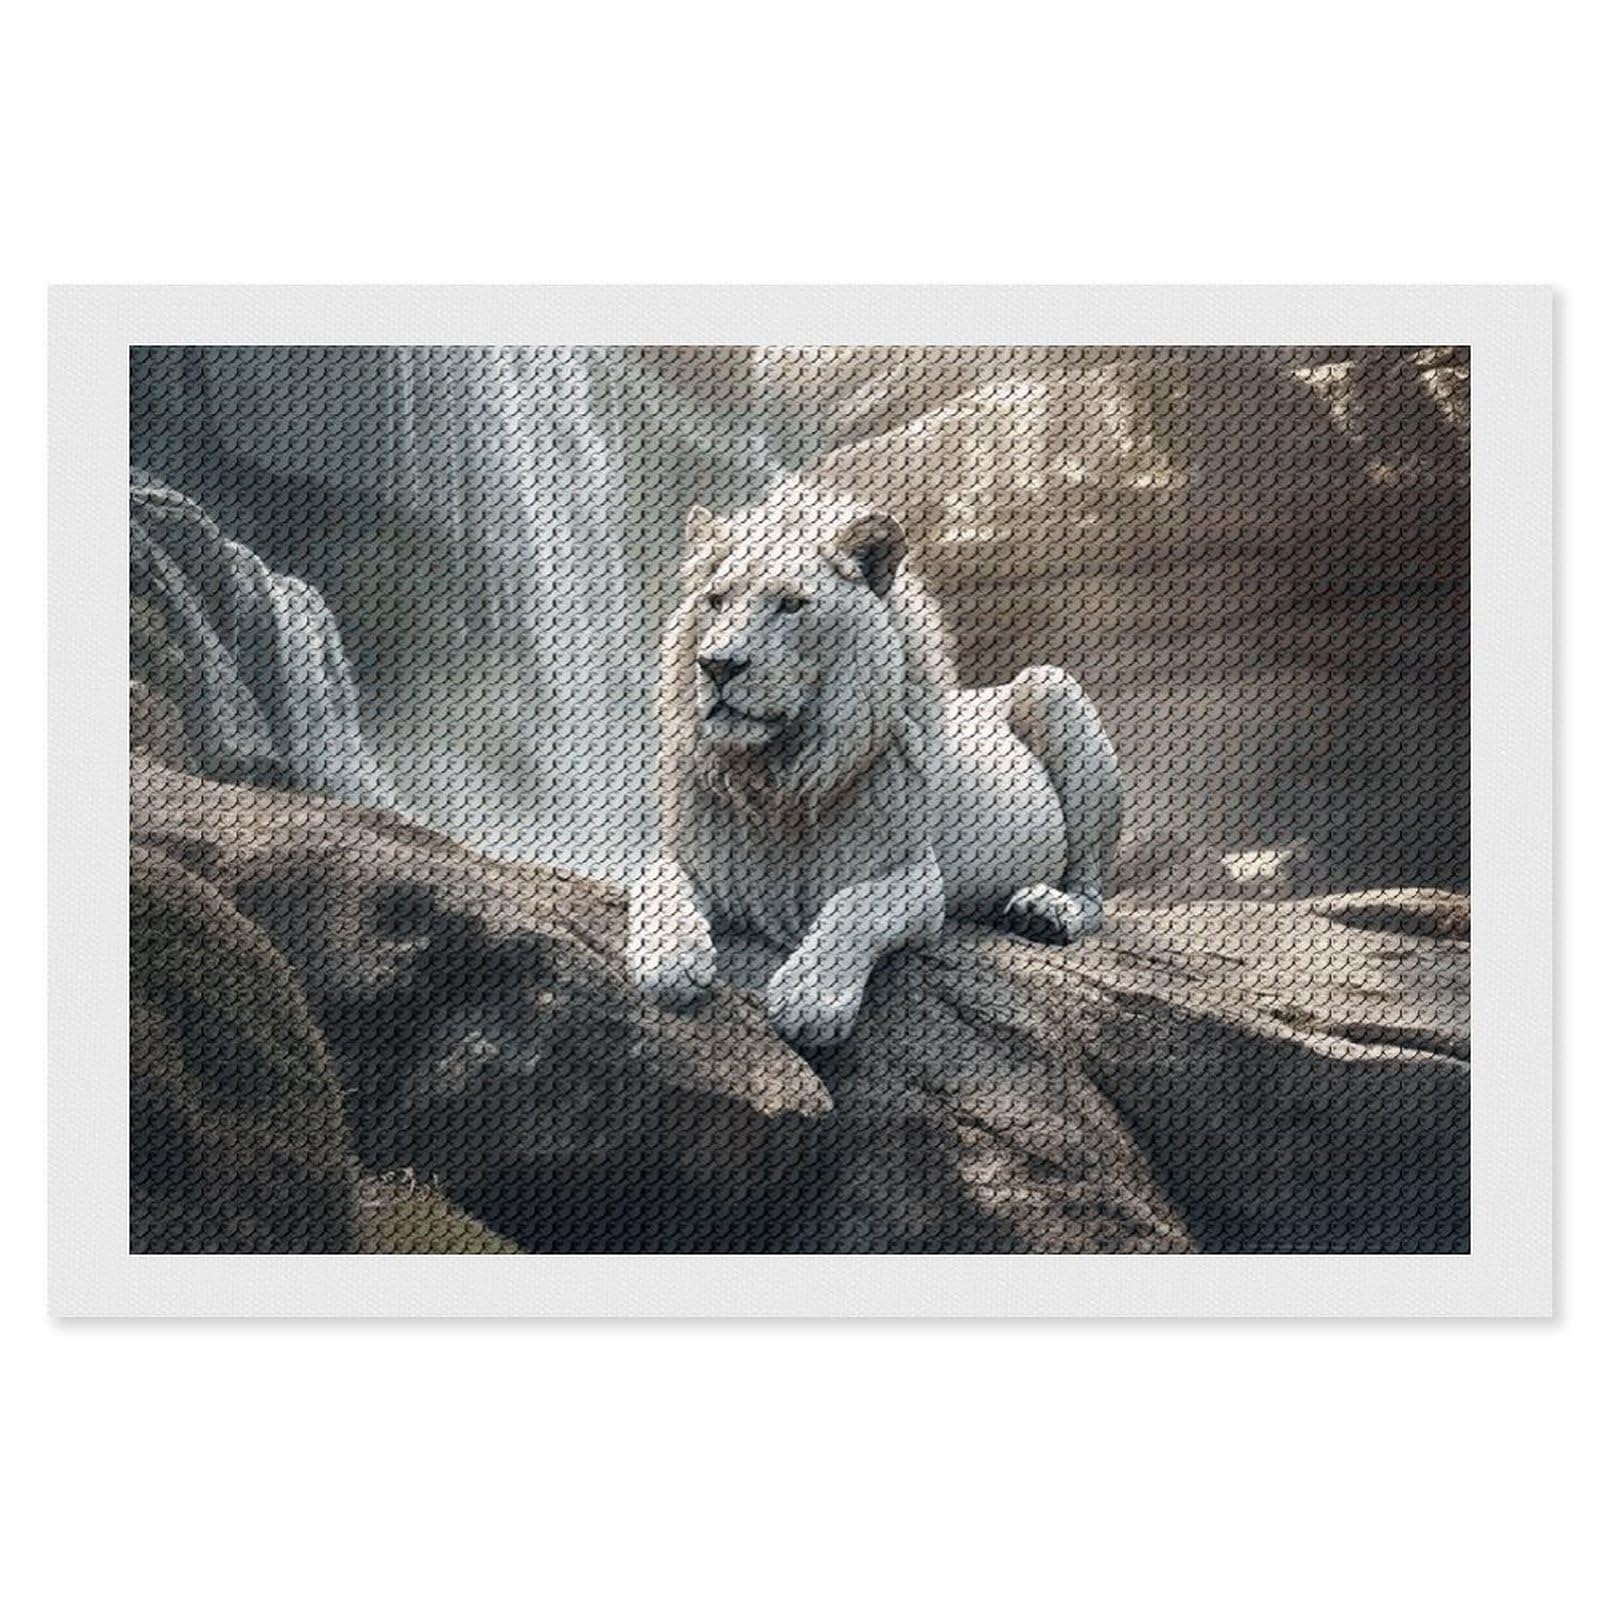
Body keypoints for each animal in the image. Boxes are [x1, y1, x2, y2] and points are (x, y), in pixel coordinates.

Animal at [626, 483, 1123, 1051]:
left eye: (790, 604)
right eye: (716, 602)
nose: (717, 665)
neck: (779, 777)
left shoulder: (914, 877)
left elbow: (853, 910)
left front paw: (810, 999)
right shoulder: (695, 858)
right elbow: (654, 881)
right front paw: (670, 963)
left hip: (1052, 688)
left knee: (1092, 892)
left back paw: (1048, 911)